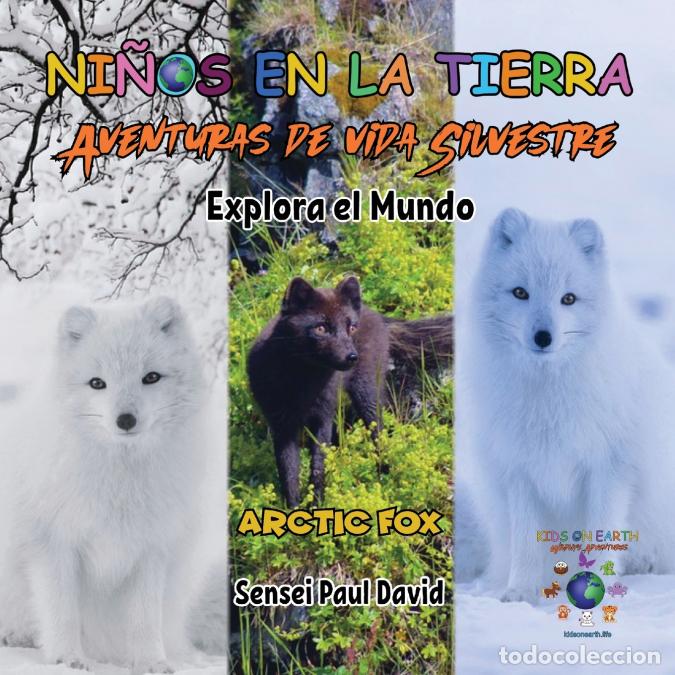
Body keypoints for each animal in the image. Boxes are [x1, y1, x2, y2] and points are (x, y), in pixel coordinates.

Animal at [0, 296, 226, 672]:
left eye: (151, 377)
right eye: (97, 383)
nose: (126, 420)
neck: (121, 480)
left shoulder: (151, 549)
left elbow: (144, 619)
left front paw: (151, 662)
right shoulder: (52, 543)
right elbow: (62, 610)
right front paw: (67, 659)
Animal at [247, 275, 452, 507]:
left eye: (351, 328)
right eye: (321, 328)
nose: (352, 357)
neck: (302, 384)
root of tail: (374, 314)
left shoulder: (323, 417)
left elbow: (318, 465)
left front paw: (317, 504)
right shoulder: (281, 424)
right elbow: (288, 471)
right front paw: (293, 509)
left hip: (367, 393)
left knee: (379, 433)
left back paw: (384, 475)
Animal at [455, 208, 675, 601]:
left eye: (568, 299)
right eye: (520, 292)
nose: (543, 337)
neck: (547, 397)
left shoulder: (608, 469)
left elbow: (601, 537)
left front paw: (597, 586)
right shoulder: (519, 471)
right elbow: (527, 542)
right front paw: (520, 593)